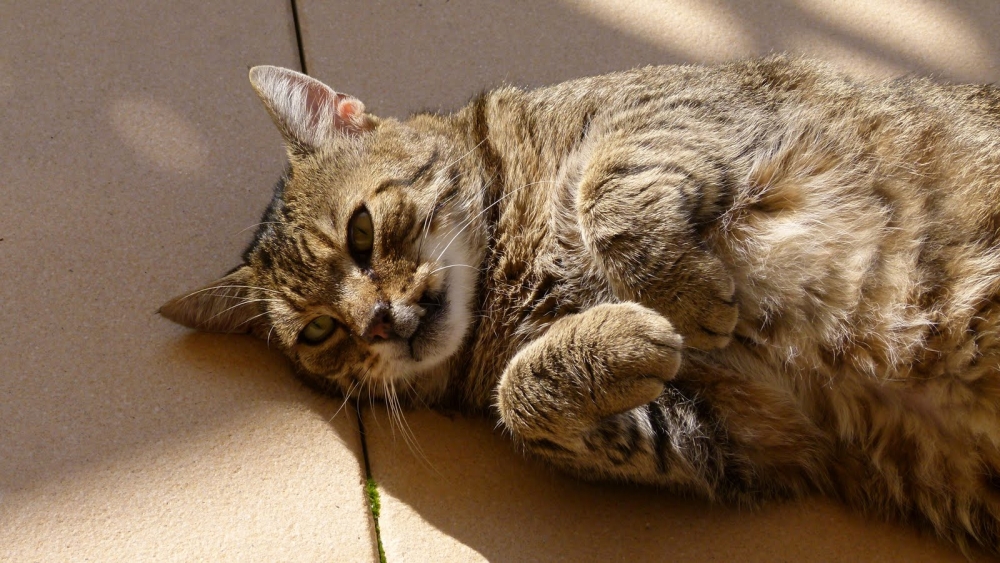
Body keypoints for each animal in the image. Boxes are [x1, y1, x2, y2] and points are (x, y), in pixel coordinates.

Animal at [158, 57, 1000, 556]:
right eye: (319, 330)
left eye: (362, 231)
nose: (378, 322)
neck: (511, 279)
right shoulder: (746, 434)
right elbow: (524, 402)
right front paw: (629, 333)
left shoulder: (677, 110)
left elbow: (607, 185)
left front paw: (681, 292)